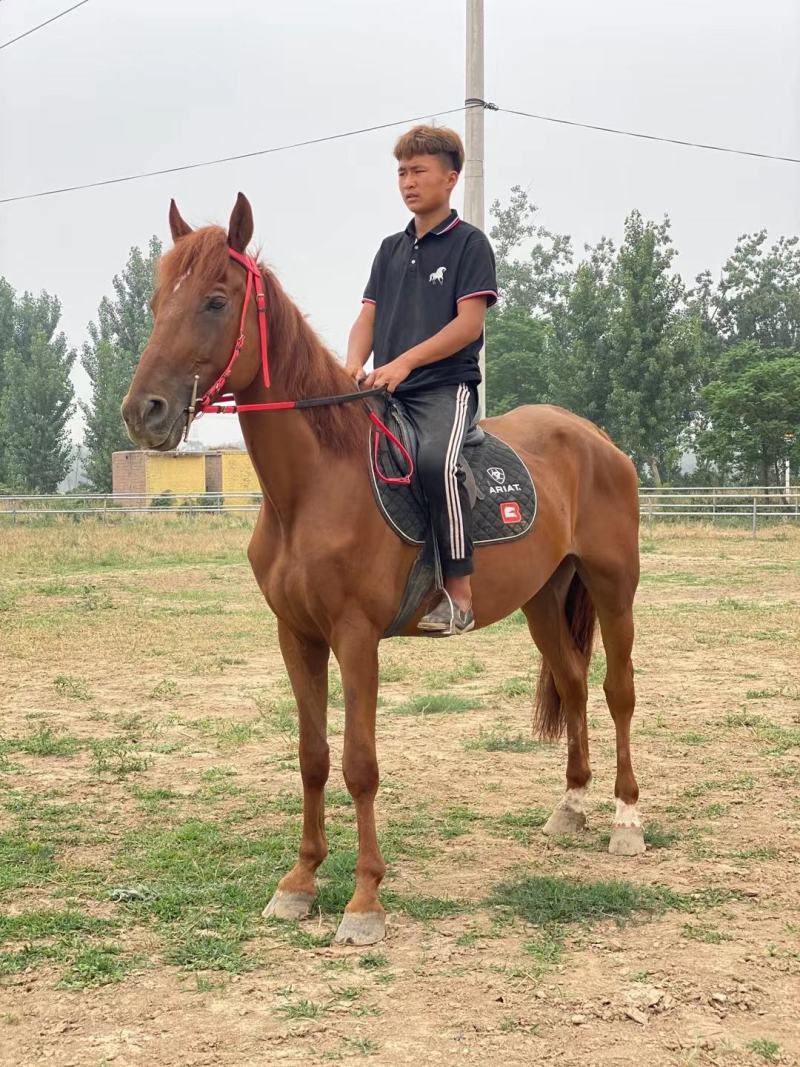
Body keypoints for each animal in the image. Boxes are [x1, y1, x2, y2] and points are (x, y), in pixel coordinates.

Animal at [122, 193, 643, 947]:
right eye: (160, 300)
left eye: (216, 301)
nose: (145, 412)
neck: (315, 484)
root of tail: (597, 438)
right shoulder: (297, 636)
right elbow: (312, 757)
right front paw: (299, 883)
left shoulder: (355, 635)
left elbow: (359, 764)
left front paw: (365, 899)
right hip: (543, 599)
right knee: (573, 685)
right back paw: (571, 807)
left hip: (613, 588)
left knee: (617, 692)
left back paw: (627, 819)